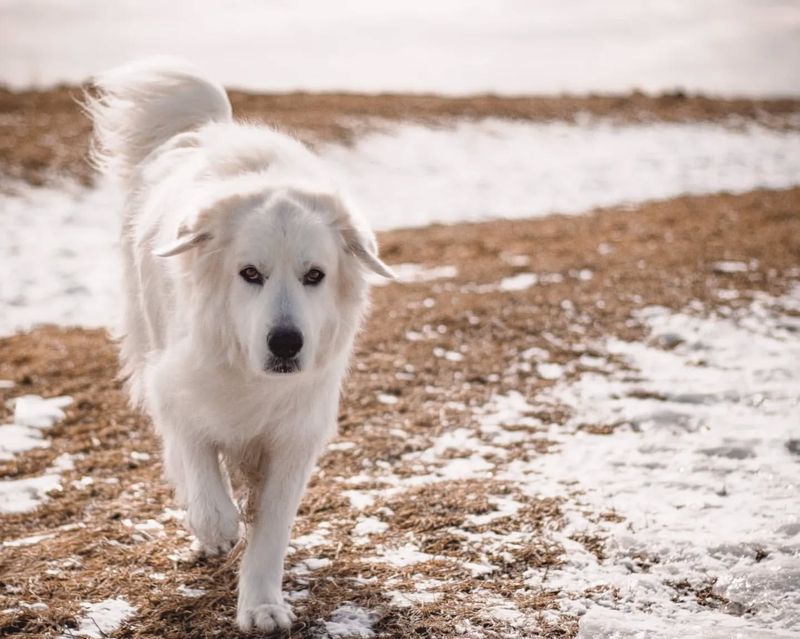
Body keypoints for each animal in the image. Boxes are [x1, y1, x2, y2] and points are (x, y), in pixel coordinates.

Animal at [86, 58, 394, 636]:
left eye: (314, 276)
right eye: (250, 273)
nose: (286, 342)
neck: (251, 376)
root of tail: (213, 129)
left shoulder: (295, 434)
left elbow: (270, 533)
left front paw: (262, 606)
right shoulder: (176, 383)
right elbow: (198, 456)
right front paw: (216, 526)